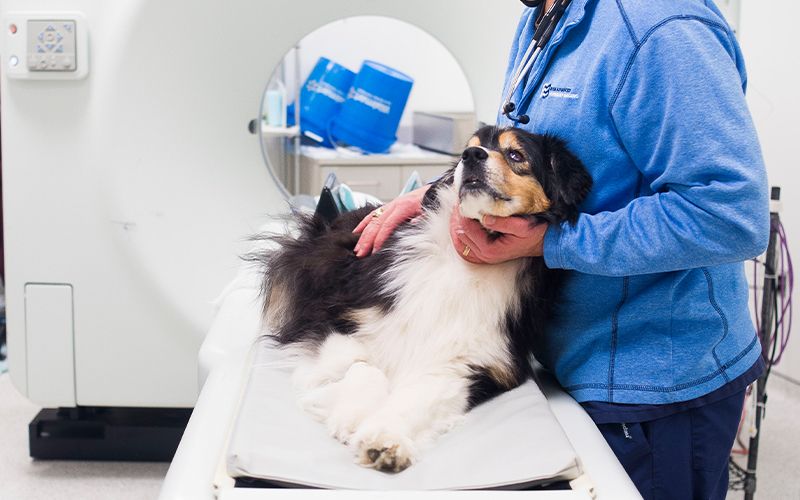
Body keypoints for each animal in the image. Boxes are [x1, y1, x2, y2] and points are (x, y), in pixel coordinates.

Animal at [253, 125, 592, 472]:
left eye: (516, 155)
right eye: (470, 147)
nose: (471, 156)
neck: (463, 262)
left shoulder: (473, 361)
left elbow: (420, 396)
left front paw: (384, 439)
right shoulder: (335, 318)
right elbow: (364, 367)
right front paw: (352, 416)